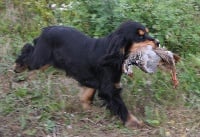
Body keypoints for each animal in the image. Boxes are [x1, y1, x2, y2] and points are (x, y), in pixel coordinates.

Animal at [14, 20, 159, 127]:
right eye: (140, 36)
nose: (157, 42)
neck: (111, 52)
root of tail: (46, 29)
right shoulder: (108, 89)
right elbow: (121, 106)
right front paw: (135, 122)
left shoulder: (91, 81)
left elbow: (86, 96)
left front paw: (90, 110)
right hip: (41, 59)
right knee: (27, 51)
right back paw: (17, 67)